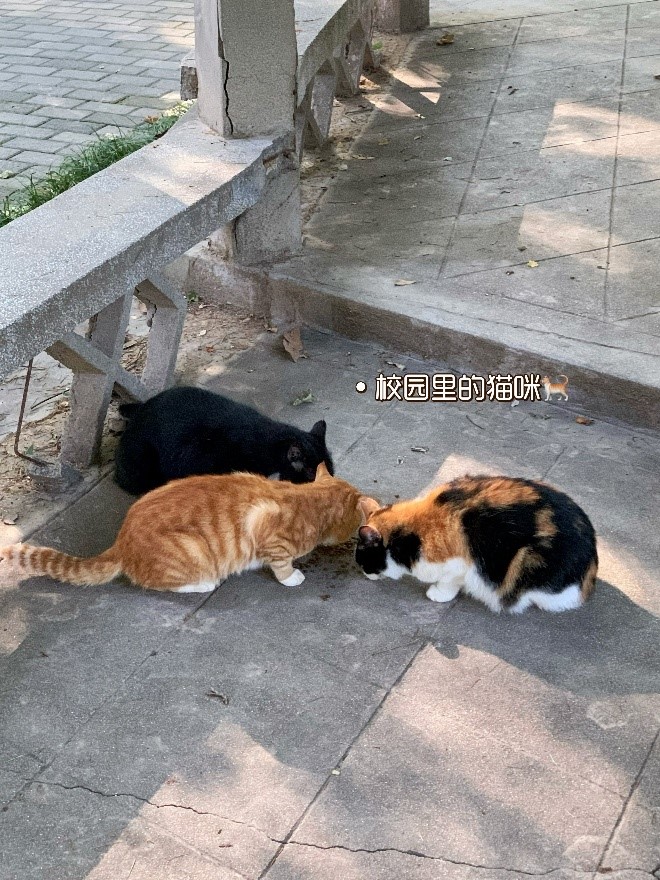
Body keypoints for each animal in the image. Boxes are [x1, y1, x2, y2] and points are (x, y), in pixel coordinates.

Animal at [1, 464, 376, 592]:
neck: (308, 499)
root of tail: (121, 542)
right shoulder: (271, 537)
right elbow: (281, 565)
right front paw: (292, 577)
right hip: (191, 552)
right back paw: (205, 583)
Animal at [356, 475, 597, 613]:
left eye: (363, 558)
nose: (364, 573)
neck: (412, 533)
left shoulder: (460, 566)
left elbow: (448, 582)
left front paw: (438, 594)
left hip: (527, 564)